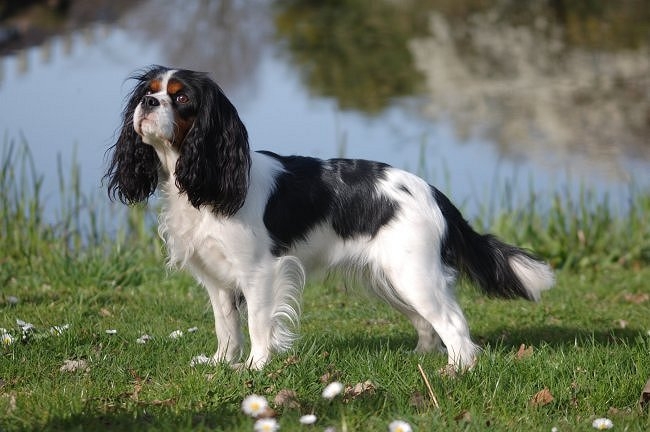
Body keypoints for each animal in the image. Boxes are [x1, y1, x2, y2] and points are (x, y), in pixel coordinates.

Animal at [105, 66, 552, 370]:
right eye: (149, 92)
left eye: (181, 99)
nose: (148, 103)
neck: (202, 183)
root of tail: (434, 194)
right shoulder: (217, 279)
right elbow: (226, 326)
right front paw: (221, 364)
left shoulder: (259, 272)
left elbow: (258, 324)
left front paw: (255, 367)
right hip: (392, 280)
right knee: (428, 325)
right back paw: (420, 359)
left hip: (415, 276)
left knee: (453, 323)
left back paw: (456, 370)